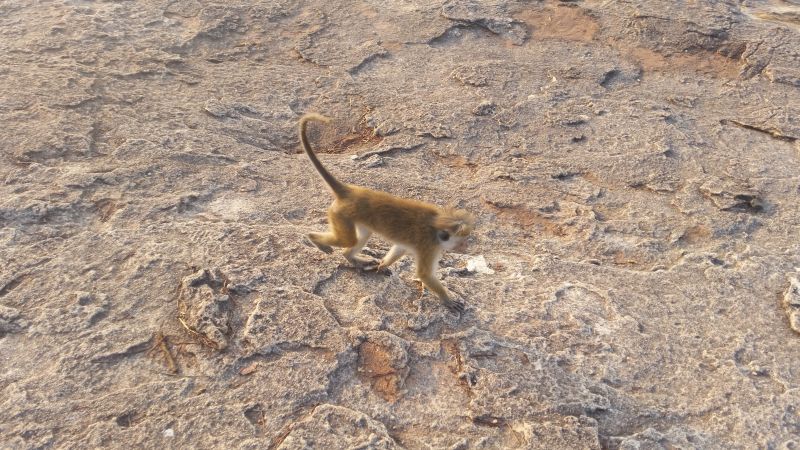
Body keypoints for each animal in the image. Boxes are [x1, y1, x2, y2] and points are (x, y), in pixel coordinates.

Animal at [299, 113, 475, 313]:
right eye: (462, 241)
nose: (466, 246)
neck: (438, 226)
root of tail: (350, 191)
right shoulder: (429, 246)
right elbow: (424, 274)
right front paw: (447, 299)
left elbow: (400, 247)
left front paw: (384, 264)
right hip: (340, 214)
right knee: (347, 240)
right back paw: (314, 238)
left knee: (360, 237)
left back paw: (350, 257)